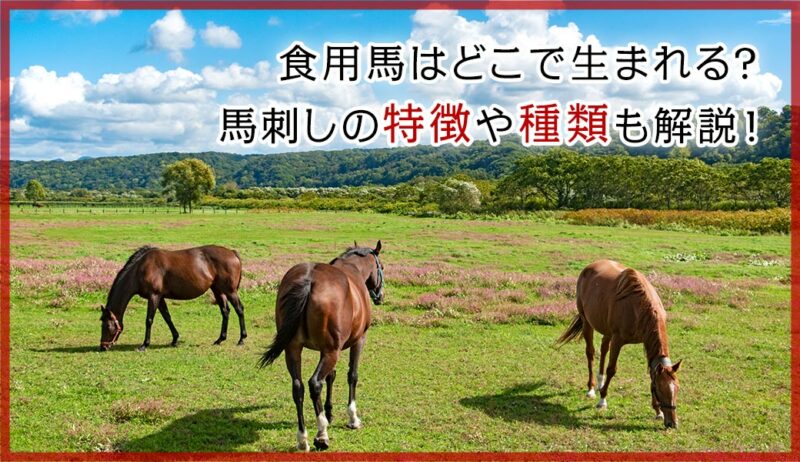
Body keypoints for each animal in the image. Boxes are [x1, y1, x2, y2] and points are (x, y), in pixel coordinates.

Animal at [99, 245, 246, 352]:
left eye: (107, 325)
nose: (103, 346)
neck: (140, 269)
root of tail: (232, 253)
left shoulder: (154, 296)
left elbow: (149, 320)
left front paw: (144, 345)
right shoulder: (160, 298)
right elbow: (167, 318)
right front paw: (175, 339)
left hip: (230, 291)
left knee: (239, 309)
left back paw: (241, 339)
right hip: (218, 290)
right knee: (225, 311)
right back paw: (220, 339)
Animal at [259, 241, 384, 452]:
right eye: (381, 267)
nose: (381, 296)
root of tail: (309, 281)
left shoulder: (326, 350)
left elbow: (331, 377)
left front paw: (329, 412)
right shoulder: (357, 341)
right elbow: (352, 375)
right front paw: (352, 418)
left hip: (294, 350)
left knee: (298, 388)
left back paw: (303, 438)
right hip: (331, 351)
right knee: (315, 384)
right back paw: (321, 435)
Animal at [556, 259, 682, 429]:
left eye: (677, 389)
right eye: (661, 389)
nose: (672, 423)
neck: (639, 307)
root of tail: (590, 266)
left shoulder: (645, 341)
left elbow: (651, 371)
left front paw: (658, 411)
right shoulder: (618, 340)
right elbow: (612, 369)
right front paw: (602, 400)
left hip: (606, 330)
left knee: (603, 349)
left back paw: (600, 382)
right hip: (586, 321)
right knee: (590, 353)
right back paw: (591, 389)